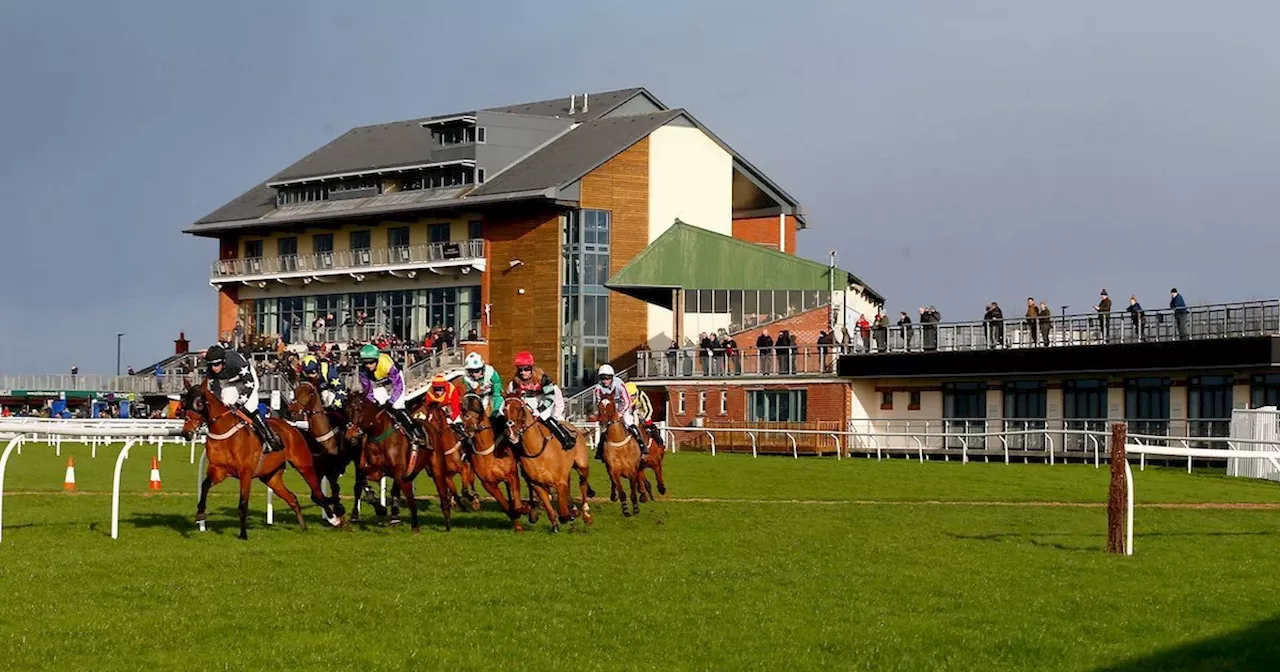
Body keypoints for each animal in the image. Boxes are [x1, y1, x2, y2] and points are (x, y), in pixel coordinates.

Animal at [181, 381, 340, 540]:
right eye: (184, 404)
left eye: (199, 403)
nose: (186, 433)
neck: (225, 435)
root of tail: (291, 427)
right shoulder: (218, 470)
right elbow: (204, 486)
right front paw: (200, 514)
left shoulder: (245, 473)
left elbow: (243, 504)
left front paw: (243, 534)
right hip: (271, 477)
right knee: (292, 498)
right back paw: (304, 527)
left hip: (303, 466)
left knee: (318, 493)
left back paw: (334, 519)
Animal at [501, 396, 596, 532]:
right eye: (504, 410)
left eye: (519, 409)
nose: (511, 433)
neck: (536, 449)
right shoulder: (538, 484)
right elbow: (550, 508)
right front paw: (555, 525)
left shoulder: (559, 481)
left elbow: (563, 512)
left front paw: (569, 515)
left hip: (582, 465)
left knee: (583, 484)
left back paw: (586, 514)